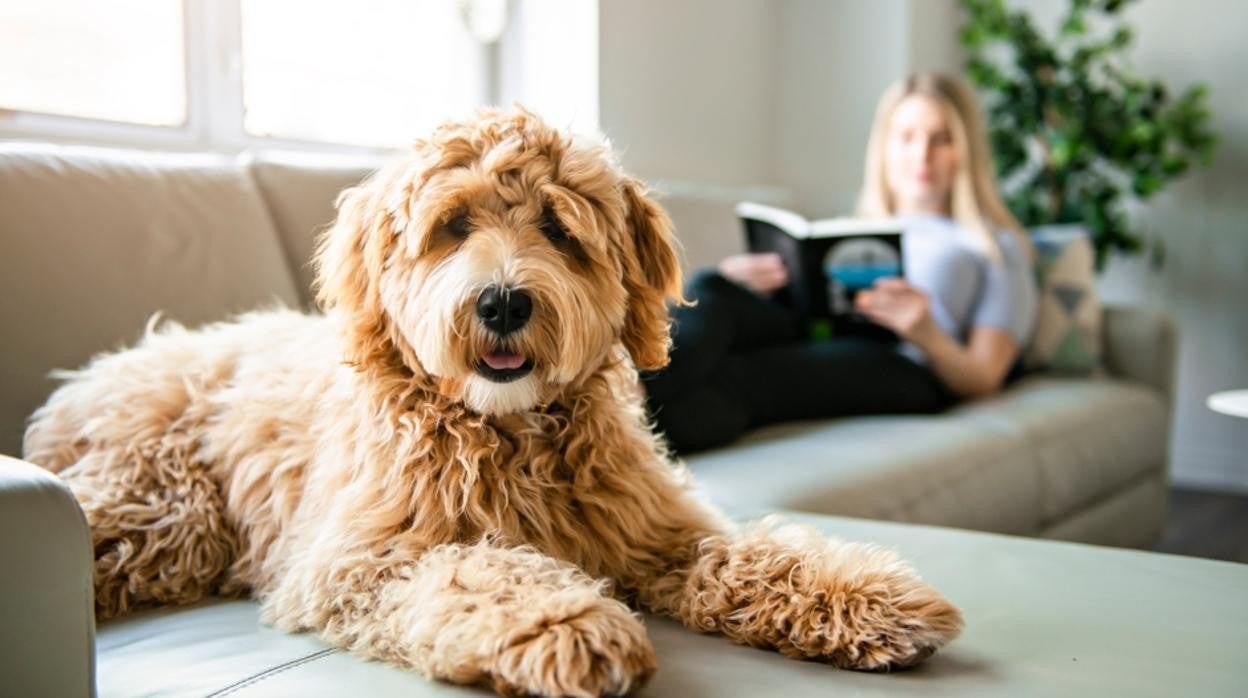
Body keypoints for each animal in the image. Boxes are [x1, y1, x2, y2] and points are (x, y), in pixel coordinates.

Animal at [21, 109, 963, 698]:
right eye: (454, 226)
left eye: (557, 228)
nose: (504, 302)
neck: (510, 432)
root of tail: (102, 370)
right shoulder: (359, 561)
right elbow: (480, 569)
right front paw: (566, 622)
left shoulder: (658, 530)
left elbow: (752, 554)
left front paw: (867, 595)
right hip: (164, 509)